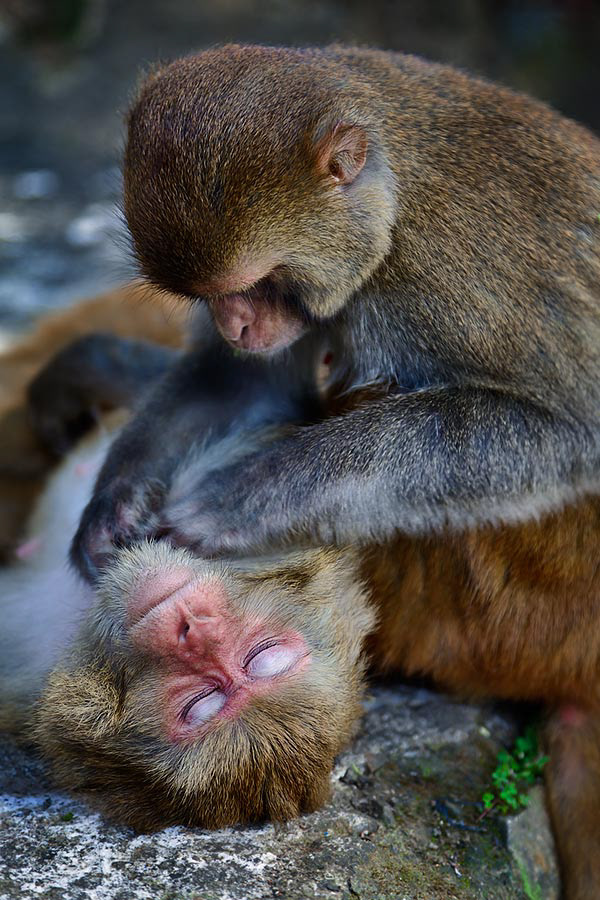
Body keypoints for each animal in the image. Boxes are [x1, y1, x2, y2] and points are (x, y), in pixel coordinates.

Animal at [61, 44, 600, 586]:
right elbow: (242, 382)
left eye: (254, 284)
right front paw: (115, 501)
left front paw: (256, 494)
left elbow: (563, 434)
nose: (234, 327)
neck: (393, 213)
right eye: (210, 297)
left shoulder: (448, 280)